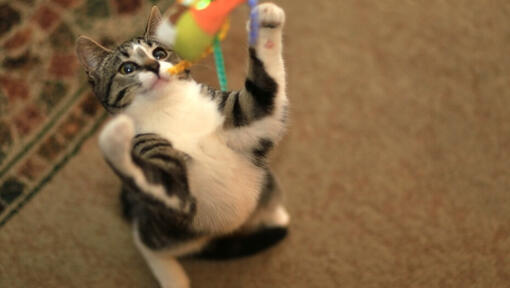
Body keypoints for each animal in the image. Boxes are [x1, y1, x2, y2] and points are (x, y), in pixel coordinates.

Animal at [76, 2, 290, 288]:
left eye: (159, 52)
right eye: (127, 69)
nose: (154, 65)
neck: (169, 109)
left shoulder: (246, 115)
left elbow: (264, 95)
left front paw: (264, 23)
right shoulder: (175, 188)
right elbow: (158, 177)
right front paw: (114, 137)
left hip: (263, 182)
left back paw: (274, 215)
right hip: (172, 230)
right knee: (144, 240)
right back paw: (172, 277)